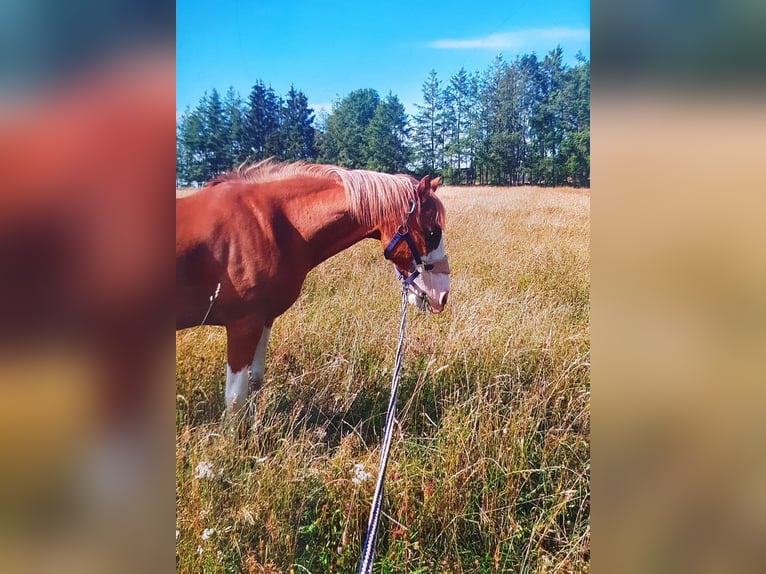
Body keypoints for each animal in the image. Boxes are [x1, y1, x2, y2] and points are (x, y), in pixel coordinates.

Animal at [177, 160, 450, 416]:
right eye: (432, 232)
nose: (442, 296)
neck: (272, 225)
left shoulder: (263, 319)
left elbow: (255, 381)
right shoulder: (243, 325)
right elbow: (235, 399)